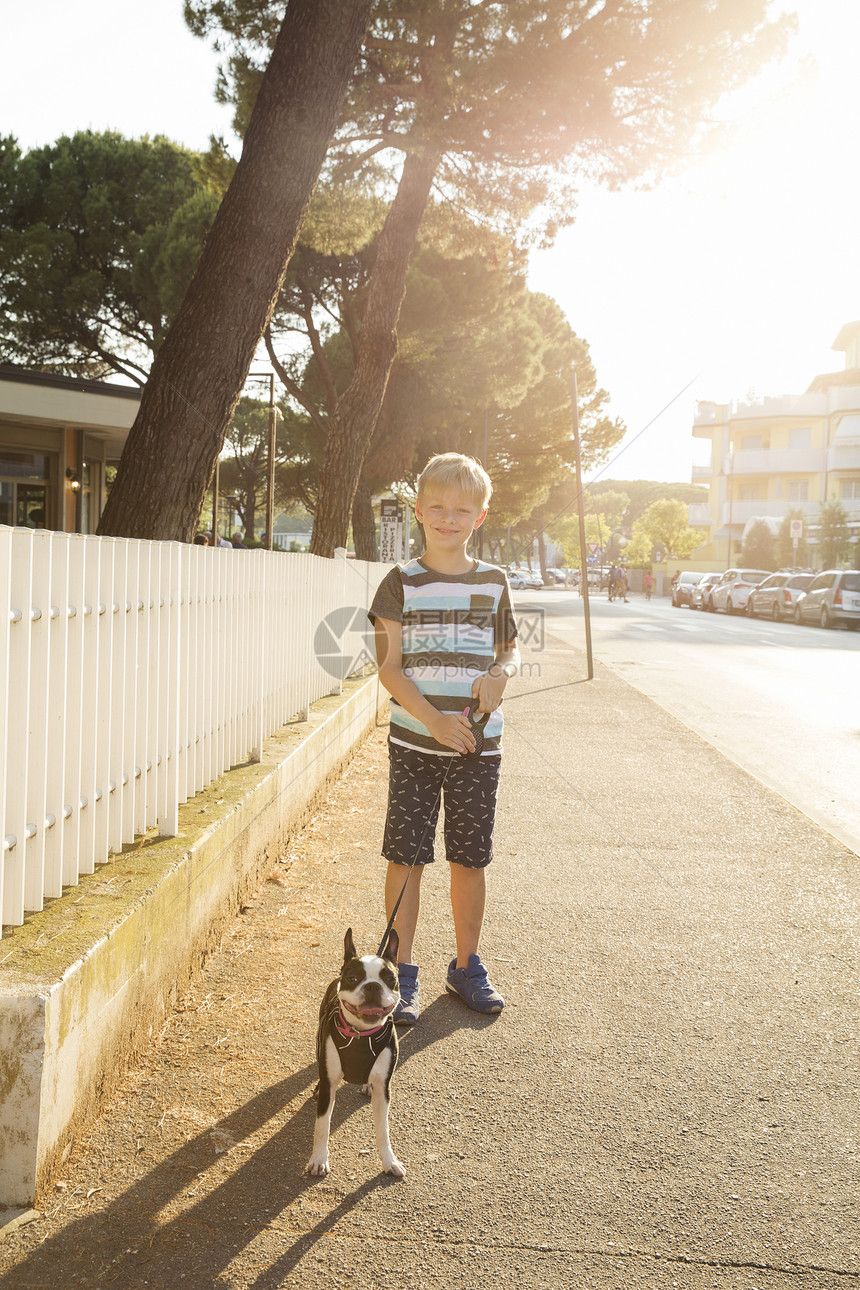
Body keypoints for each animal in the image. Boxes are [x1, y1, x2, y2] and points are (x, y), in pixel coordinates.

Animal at [305, 928, 407, 1181]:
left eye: (390, 979)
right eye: (352, 979)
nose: (372, 986)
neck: (360, 1035)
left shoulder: (384, 1089)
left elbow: (383, 1130)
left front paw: (389, 1161)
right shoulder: (330, 1084)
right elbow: (322, 1126)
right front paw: (319, 1160)